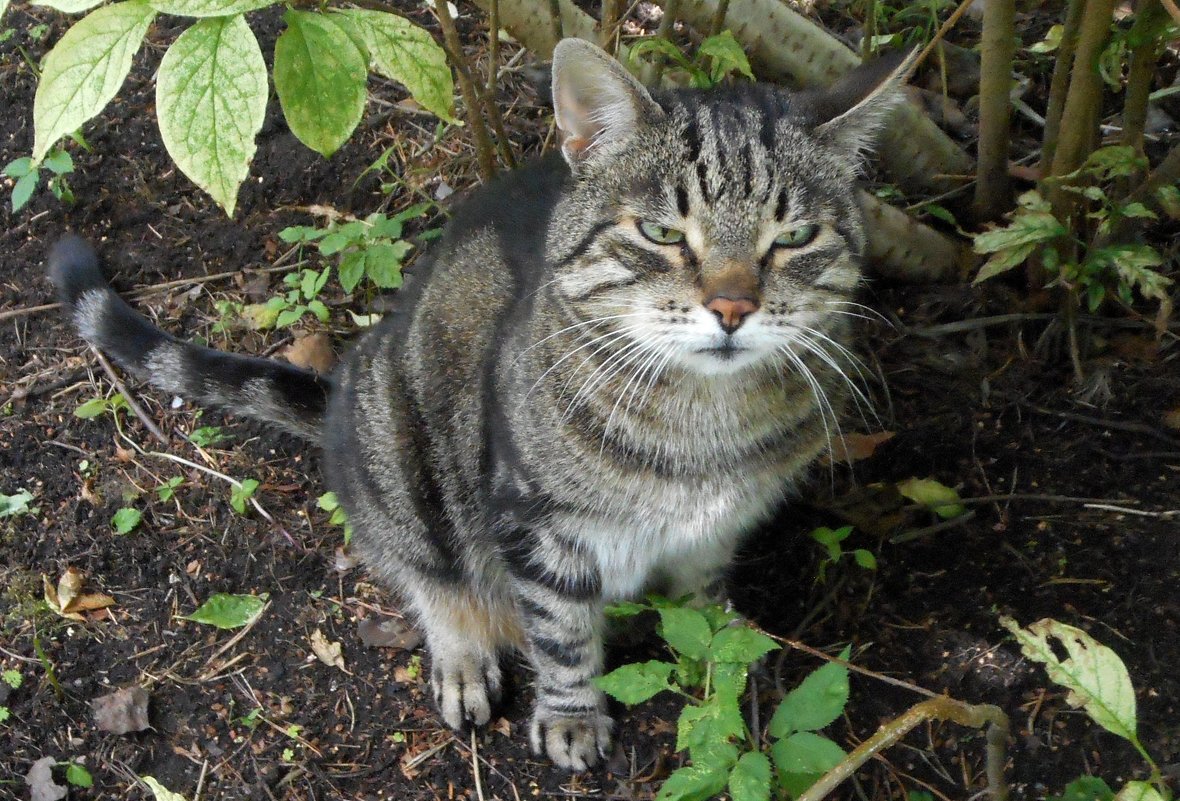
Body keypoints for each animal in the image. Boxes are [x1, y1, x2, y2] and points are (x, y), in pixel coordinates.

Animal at [48, 37, 910, 769]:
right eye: (664, 232)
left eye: (792, 237)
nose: (733, 307)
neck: (705, 425)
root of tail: (343, 387)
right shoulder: (536, 523)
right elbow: (562, 633)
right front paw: (571, 717)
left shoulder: (716, 530)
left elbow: (703, 609)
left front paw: (728, 656)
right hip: (397, 445)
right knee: (428, 574)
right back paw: (463, 655)